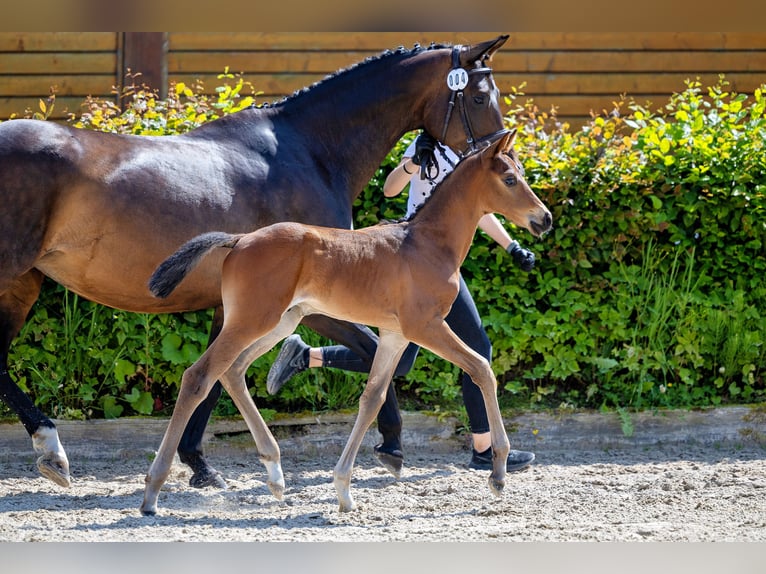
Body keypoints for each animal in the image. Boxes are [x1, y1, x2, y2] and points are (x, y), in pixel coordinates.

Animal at [142, 132, 552, 516]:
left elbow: (372, 398)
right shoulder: (426, 326)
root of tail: (239, 240)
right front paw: (498, 474)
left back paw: (275, 475)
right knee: (199, 376)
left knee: (232, 371)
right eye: (510, 179)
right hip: (252, 320)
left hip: (280, 322)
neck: (426, 245)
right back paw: (152, 493)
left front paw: (343, 489)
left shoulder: (395, 335)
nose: (545, 219)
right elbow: (482, 369)